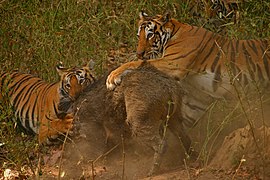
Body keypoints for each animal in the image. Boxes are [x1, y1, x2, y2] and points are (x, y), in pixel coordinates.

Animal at [106, 11, 270, 98]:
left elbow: (136, 63)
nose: (139, 53)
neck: (174, 32)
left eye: (150, 35)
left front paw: (112, 78)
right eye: (138, 36)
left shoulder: (174, 63)